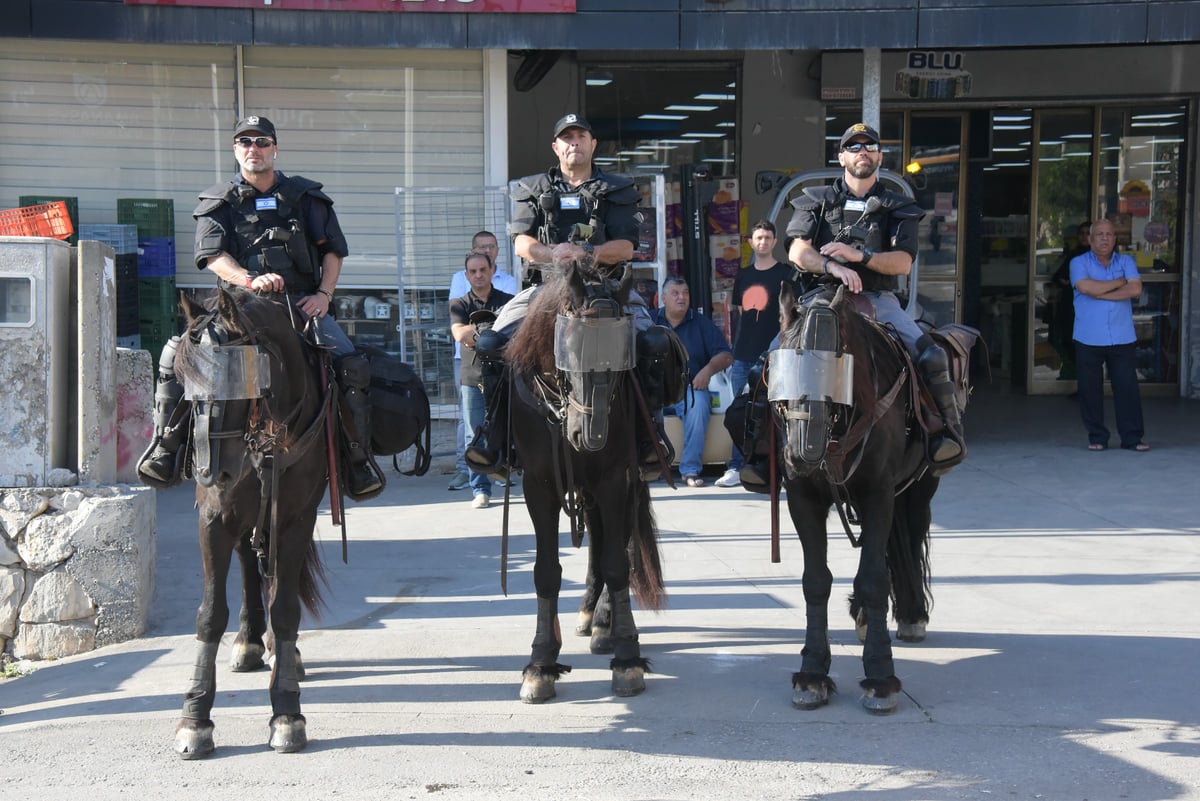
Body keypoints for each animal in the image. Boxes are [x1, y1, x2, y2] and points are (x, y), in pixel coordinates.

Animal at [171, 287, 331, 757]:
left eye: (235, 376)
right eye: (185, 378)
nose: (210, 470)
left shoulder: (295, 518)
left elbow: (286, 609)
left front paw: (287, 712)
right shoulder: (213, 519)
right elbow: (210, 614)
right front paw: (194, 718)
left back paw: (282, 653)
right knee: (248, 565)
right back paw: (249, 642)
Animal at [499, 260, 667, 705]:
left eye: (623, 352)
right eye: (569, 344)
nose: (591, 435)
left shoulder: (614, 479)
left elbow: (617, 563)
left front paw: (627, 658)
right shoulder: (538, 486)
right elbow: (546, 571)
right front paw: (541, 664)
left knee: (617, 545)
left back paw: (605, 621)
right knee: (596, 538)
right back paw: (591, 613)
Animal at [768, 282, 945, 714]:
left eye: (834, 370)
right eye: (782, 368)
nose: (801, 454)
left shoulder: (878, 492)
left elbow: (873, 580)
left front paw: (881, 677)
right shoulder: (802, 497)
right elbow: (815, 580)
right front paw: (812, 673)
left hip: (921, 487)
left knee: (909, 536)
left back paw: (912, 614)